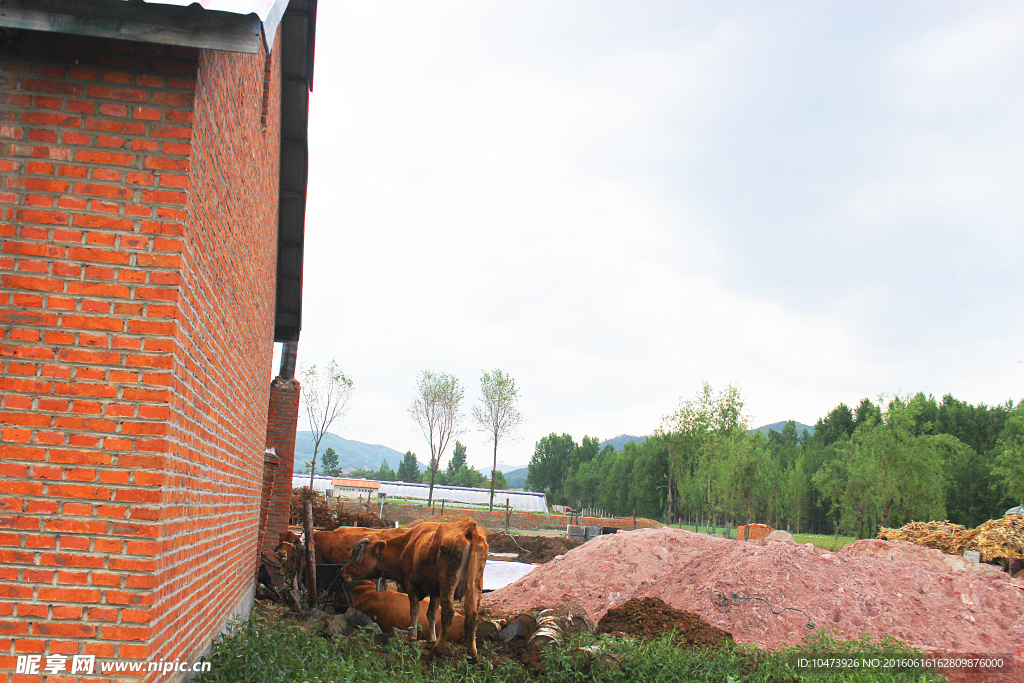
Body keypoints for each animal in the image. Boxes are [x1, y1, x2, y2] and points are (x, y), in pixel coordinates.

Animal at [339, 520, 487, 659]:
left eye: (357, 555)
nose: (342, 571)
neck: (405, 546)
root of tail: (467, 527)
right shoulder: (435, 592)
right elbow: (431, 614)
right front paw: (430, 641)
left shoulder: (412, 586)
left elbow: (414, 611)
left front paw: (411, 639)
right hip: (475, 582)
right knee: (472, 614)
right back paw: (472, 654)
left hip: (448, 580)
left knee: (448, 612)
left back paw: (438, 650)